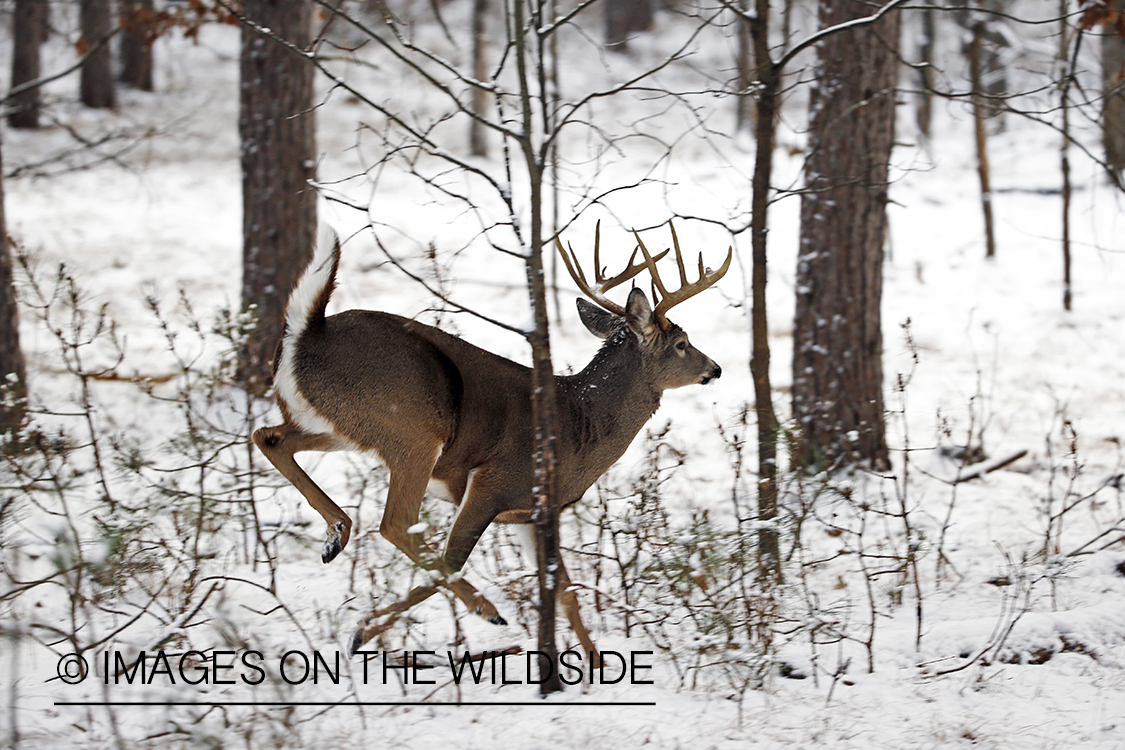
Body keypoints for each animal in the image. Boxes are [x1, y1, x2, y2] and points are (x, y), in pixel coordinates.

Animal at [250, 220, 733, 661]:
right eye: (682, 343)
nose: (715, 368)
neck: (579, 423)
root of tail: (307, 332)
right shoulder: (492, 483)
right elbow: (453, 560)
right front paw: (362, 629)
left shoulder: (532, 511)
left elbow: (565, 591)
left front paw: (596, 666)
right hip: (412, 429)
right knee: (396, 525)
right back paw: (483, 609)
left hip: (339, 425)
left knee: (269, 437)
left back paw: (336, 535)